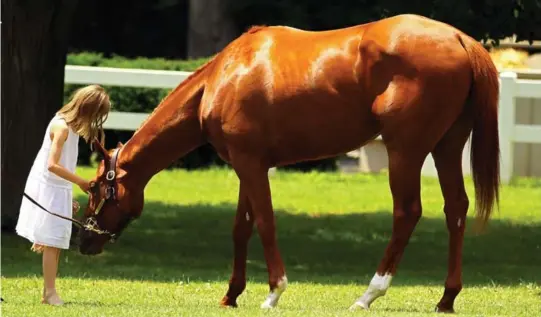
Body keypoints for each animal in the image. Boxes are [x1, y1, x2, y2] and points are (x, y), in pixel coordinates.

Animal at [78, 14, 500, 312]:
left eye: (97, 187)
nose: (84, 241)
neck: (223, 76)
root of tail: (459, 39)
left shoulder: (250, 165)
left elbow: (265, 222)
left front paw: (273, 292)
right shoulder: (247, 165)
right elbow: (241, 227)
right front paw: (231, 294)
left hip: (405, 151)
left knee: (407, 212)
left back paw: (369, 294)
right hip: (446, 146)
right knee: (456, 209)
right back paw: (446, 298)